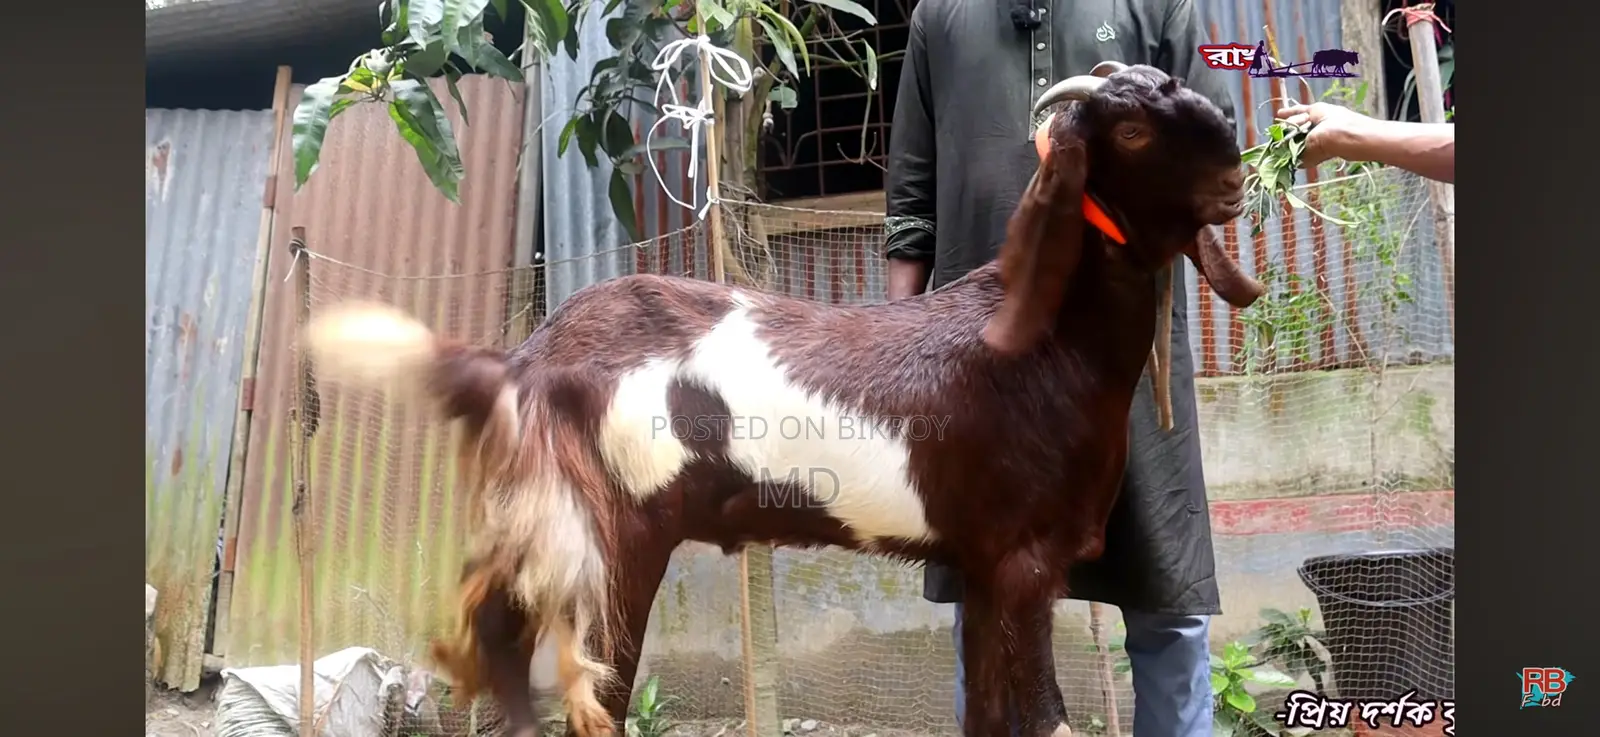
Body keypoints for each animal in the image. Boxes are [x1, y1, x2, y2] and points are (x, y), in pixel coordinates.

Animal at [303, 61, 1264, 737]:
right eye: (1130, 130)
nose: (1237, 175)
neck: (1039, 340)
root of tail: (526, 361)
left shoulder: (982, 562)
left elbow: (986, 715)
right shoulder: (1027, 559)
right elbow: (1047, 717)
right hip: (611, 537)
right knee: (598, 699)